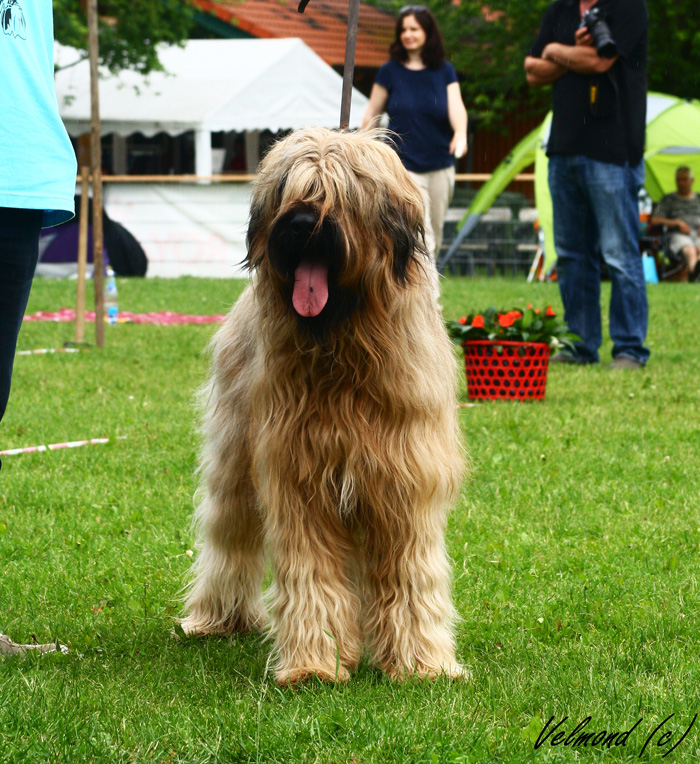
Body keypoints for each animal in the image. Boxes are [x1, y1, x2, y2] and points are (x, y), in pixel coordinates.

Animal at [182, 128, 464, 684]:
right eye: (289, 189)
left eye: (342, 192)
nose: (300, 224)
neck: (342, 345)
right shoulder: (299, 478)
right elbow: (311, 573)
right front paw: (314, 664)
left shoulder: (404, 480)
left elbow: (411, 571)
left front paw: (422, 663)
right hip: (235, 458)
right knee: (229, 534)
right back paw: (216, 618)